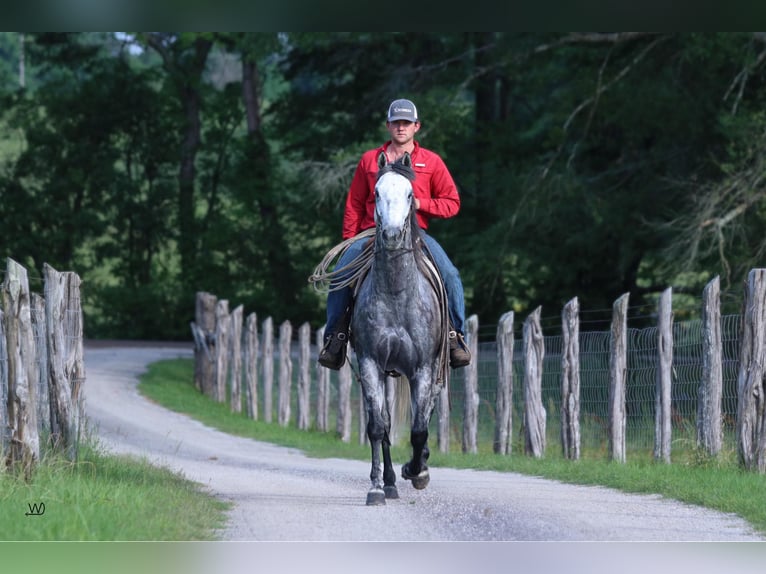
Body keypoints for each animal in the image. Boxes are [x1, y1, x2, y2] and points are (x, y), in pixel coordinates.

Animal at [350, 151, 450, 506]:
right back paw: (391, 482)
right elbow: (378, 428)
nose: (392, 235)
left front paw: (418, 471)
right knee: (384, 423)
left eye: (409, 194)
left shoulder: (423, 368)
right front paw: (377, 487)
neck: (396, 291)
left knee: (426, 413)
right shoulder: (369, 363)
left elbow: (419, 429)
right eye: (377, 192)